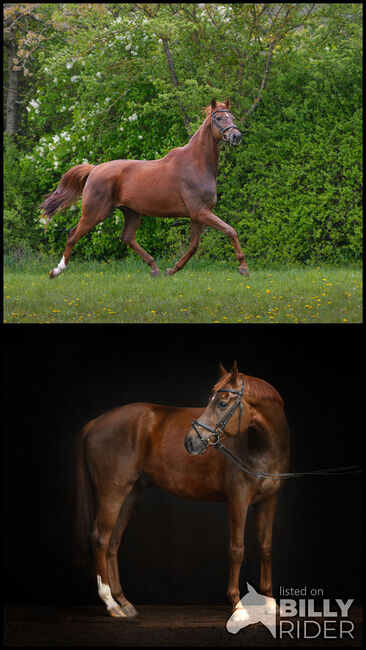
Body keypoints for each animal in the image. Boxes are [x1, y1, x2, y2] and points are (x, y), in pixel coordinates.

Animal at [41, 98, 250, 278]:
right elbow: (230, 231)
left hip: (132, 212)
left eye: (232, 117)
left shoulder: (197, 215)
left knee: (127, 238)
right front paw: (243, 267)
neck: (196, 164)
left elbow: (193, 247)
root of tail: (94, 169)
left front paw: (171, 270)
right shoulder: (200, 212)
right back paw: (56, 271)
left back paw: (154, 268)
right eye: (218, 118)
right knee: (72, 235)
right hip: (95, 213)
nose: (236, 136)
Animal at [74, 362, 290, 616]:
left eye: (222, 403)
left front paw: (270, 604)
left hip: (129, 494)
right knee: (99, 538)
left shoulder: (269, 500)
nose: (190, 442)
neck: (259, 447)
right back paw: (110, 603)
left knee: (113, 542)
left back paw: (123, 602)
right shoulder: (238, 499)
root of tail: (96, 423)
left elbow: (266, 547)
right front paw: (238, 606)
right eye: (211, 400)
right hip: (112, 493)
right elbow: (237, 549)